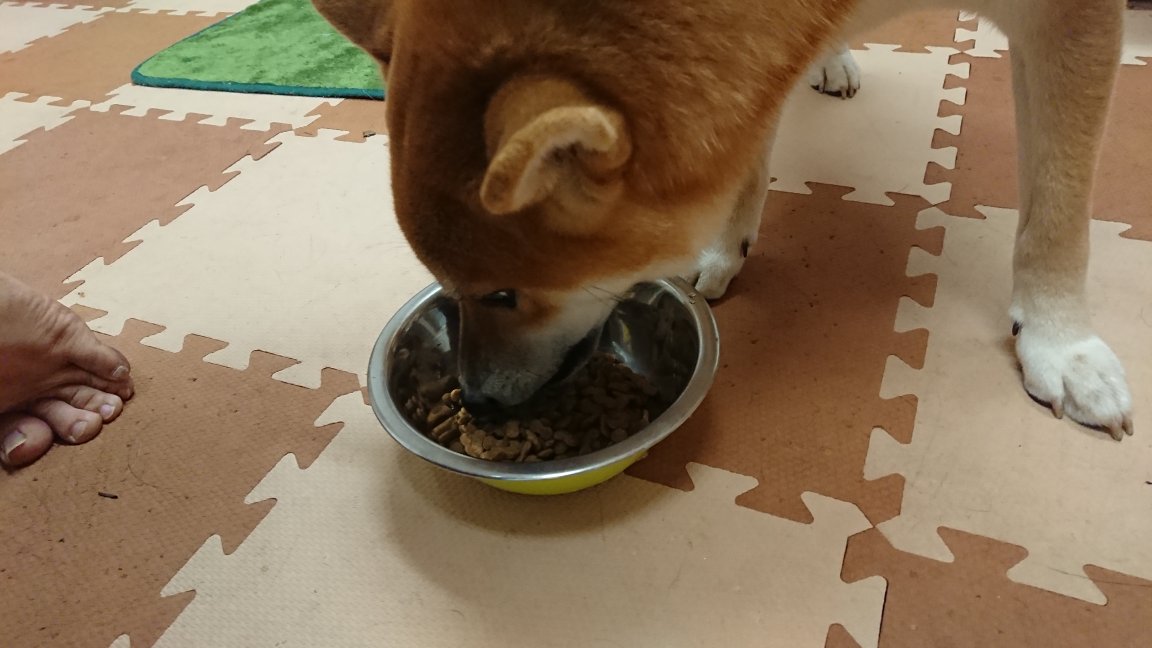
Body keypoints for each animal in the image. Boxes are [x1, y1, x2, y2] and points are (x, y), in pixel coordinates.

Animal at [312, 0, 1134, 440]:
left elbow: (1058, 209)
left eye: (505, 294)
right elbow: (746, 143)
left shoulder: (1073, 19)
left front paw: (1060, 343)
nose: (476, 401)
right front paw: (724, 245)